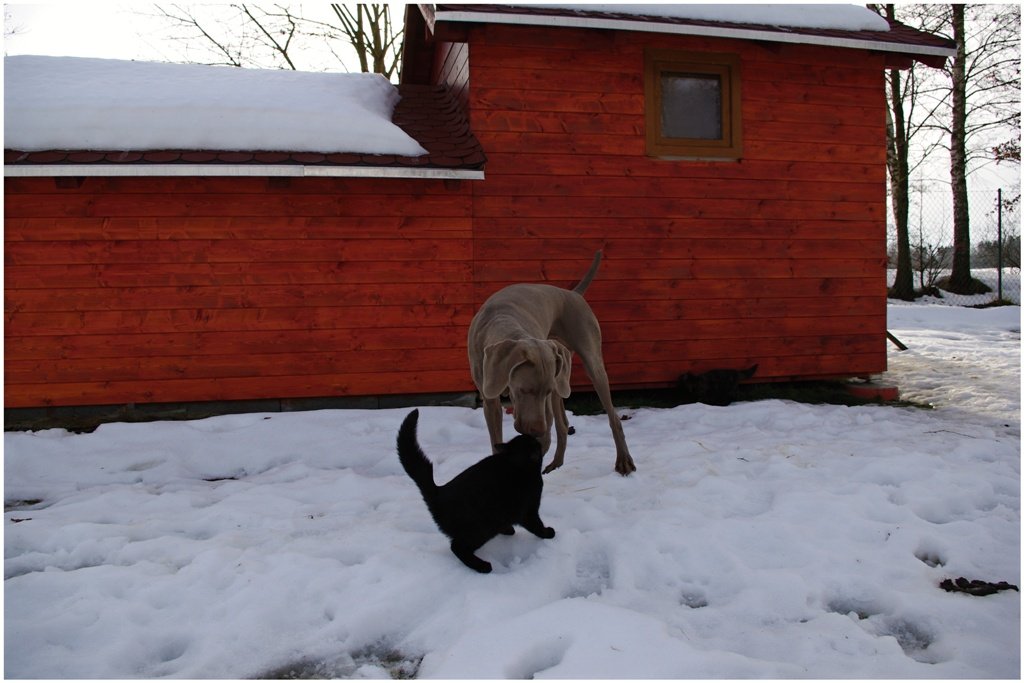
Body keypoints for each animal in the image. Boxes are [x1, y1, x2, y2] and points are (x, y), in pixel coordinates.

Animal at [396, 409, 555, 573]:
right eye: (533, 443)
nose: (535, 437)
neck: (517, 466)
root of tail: (438, 492)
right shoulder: (528, 510)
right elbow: (536, 525)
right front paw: (548, 533)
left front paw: (508, 529)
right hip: (481, 529)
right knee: (457, 547)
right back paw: (482, 566)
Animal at [467, 251, 636, 475]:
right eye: (523, 390)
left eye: (543, 392)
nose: (536, 430)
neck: (501, 320)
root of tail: (574, 293)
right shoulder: (490, 399)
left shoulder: (544, 403)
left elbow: (543, 439)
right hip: (560, 372)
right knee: (563, 424)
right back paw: (556, 463)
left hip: (588, 365)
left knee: (612, 418)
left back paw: (624, 461)